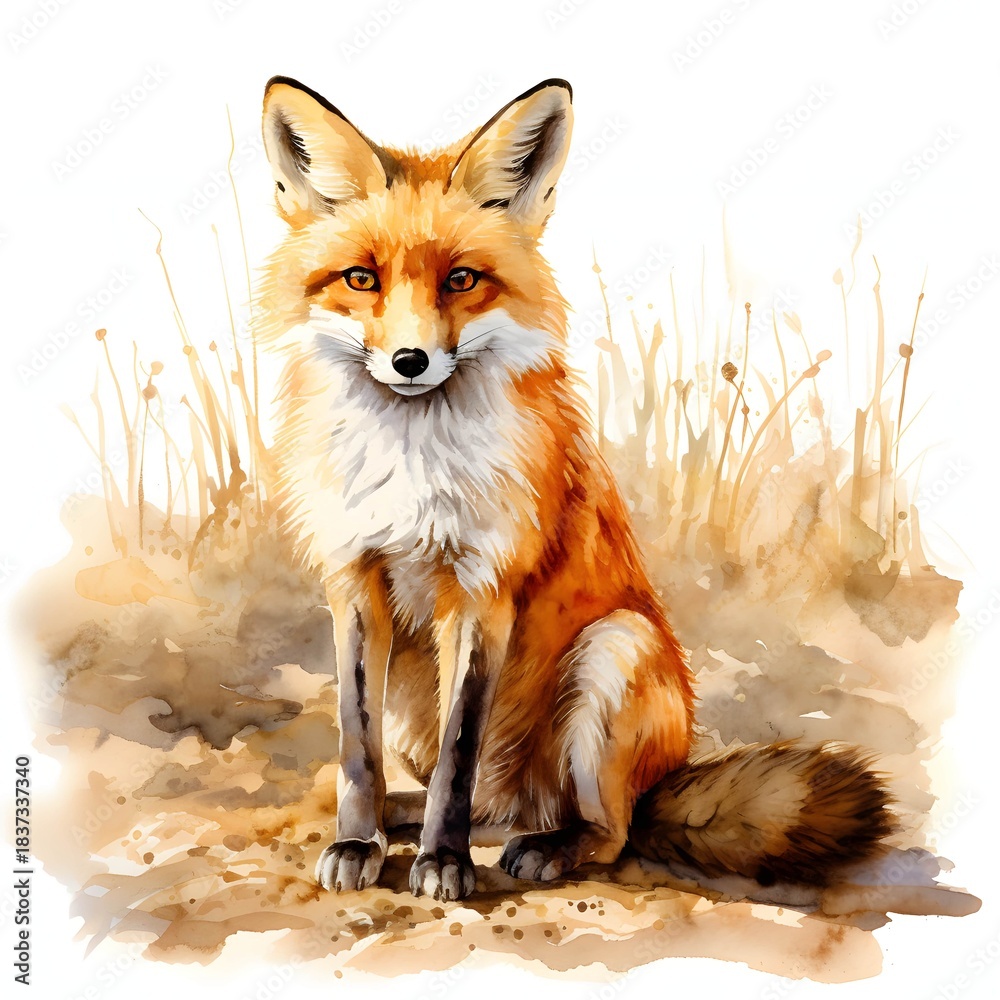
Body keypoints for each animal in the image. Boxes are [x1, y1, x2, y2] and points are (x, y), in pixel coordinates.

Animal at [256, 76, 893, 902]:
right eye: (362, 279)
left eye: (461, 279)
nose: (409, 361)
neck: (412, 464)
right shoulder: (353, 581)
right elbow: (356, 745)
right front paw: (356, 841)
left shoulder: (484, 590)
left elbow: (459, 755)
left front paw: (443, 863)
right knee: (480, 798)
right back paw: (412, 819)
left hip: (612, 653)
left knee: (604, 829)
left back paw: (545, 846)